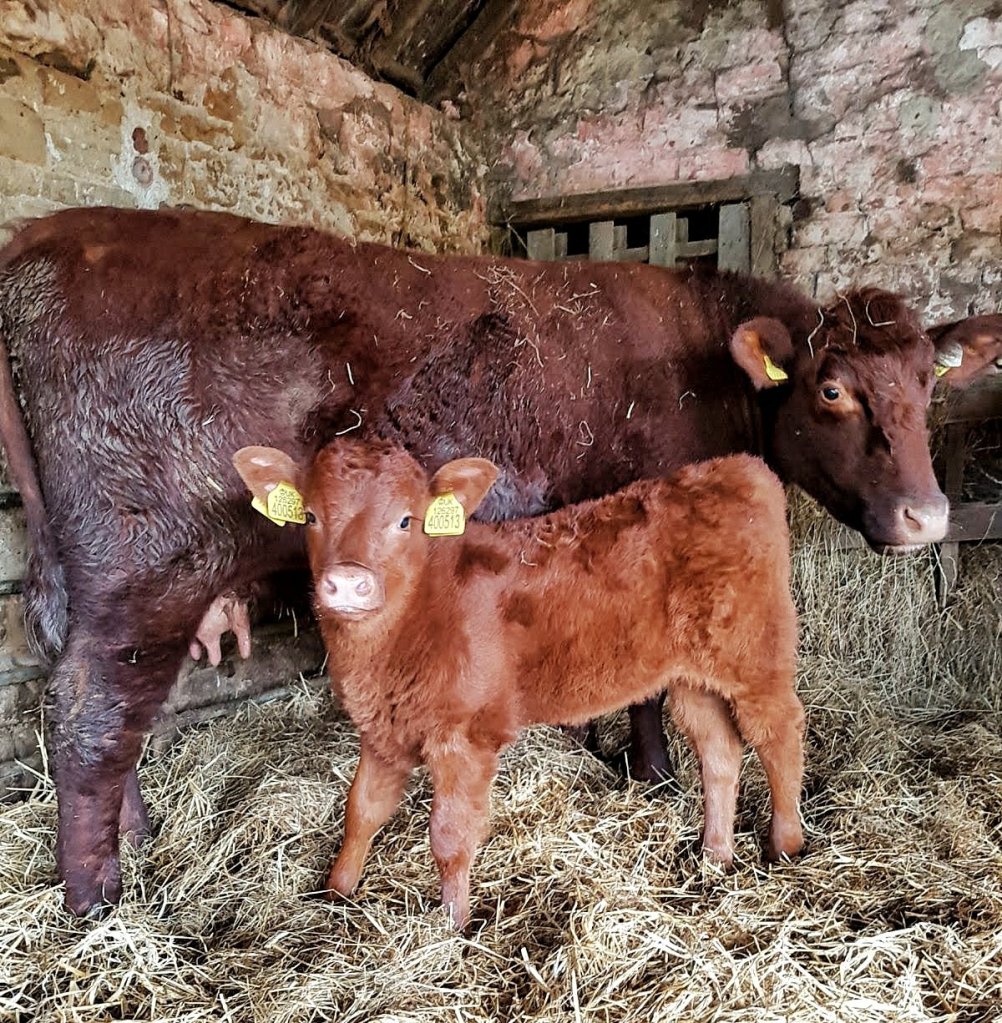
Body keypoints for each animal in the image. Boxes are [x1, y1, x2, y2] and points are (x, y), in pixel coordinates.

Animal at [232, 439, 805, 930]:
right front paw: (335, 894)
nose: (348, 583)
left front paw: (453, 929)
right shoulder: (384, 731)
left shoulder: (464, 740)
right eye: (310, 516)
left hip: (756, 656)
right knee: (720, 750)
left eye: (406, 520)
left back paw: (785, 845)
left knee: (780, 734)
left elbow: (450, 836)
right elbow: (362, 812)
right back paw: (715, 855)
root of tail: (734, 468)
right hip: (692, 676)